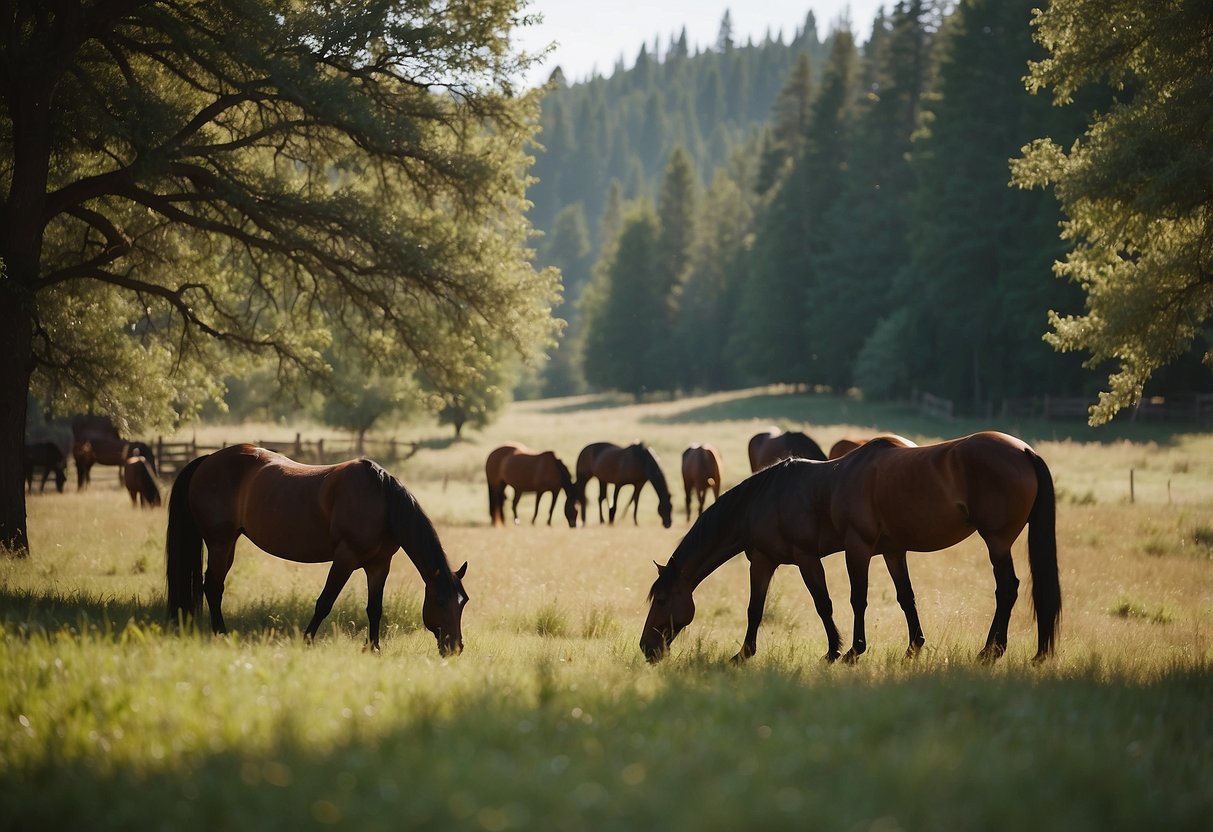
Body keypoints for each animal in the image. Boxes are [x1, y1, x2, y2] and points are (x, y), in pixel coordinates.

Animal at [168, 446, 470, 654]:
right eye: (439, 601)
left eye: (463, 602)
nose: (455, 648)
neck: (381, 500)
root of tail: (208, 459)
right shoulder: (345, 558)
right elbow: (325, 602)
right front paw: (307, 641)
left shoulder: (379, 564)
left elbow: (375, 608)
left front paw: (373, 649)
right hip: (219, 542)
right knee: (213, 587)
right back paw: (221, 634)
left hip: (228, 542)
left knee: (213, 585)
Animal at [645, 434, 1062, 669]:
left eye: (663, 600)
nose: (646, 647)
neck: (772, 497)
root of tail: (1025, 451)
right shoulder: (891, 552)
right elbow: (905, 598)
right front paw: (913, 648)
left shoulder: (819, 555)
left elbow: (836, 602)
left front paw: (844, 651)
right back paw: (1037, 651)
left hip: (997, 541)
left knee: (1007, 589)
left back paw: (992, 651)